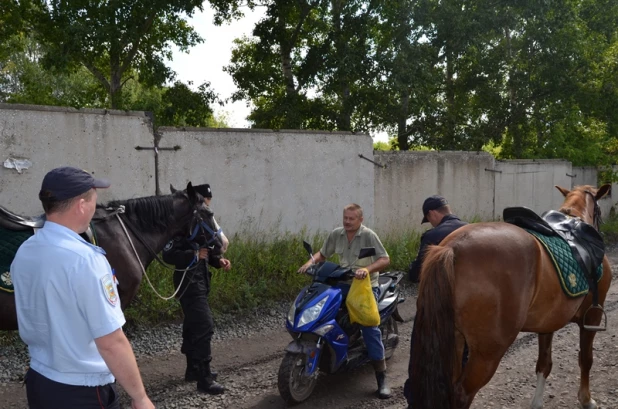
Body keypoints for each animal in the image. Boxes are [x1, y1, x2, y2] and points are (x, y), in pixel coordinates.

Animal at [410, 184, 612, 408]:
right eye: (599, 211)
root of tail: (452, 248)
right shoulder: (591, 318)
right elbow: (586, 359)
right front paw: (586, 399)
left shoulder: (548, 324)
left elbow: (544, 364)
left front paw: (537, 403)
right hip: (487, 353)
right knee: (461, 393)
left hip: (454, 340)